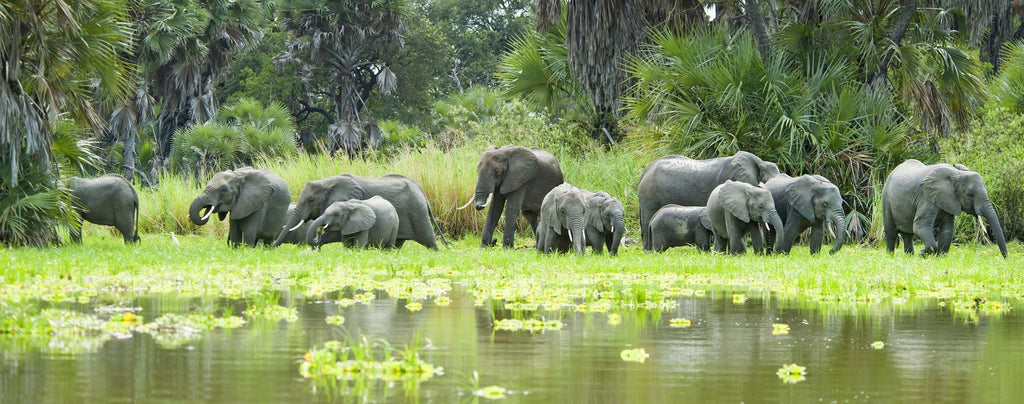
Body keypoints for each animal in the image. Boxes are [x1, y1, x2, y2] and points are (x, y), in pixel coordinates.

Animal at [274, 172, 446, 248]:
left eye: (311, 200)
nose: (272, 248)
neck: (328, 182)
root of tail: (421, 190)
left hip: (417, 212)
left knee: (429, 240)